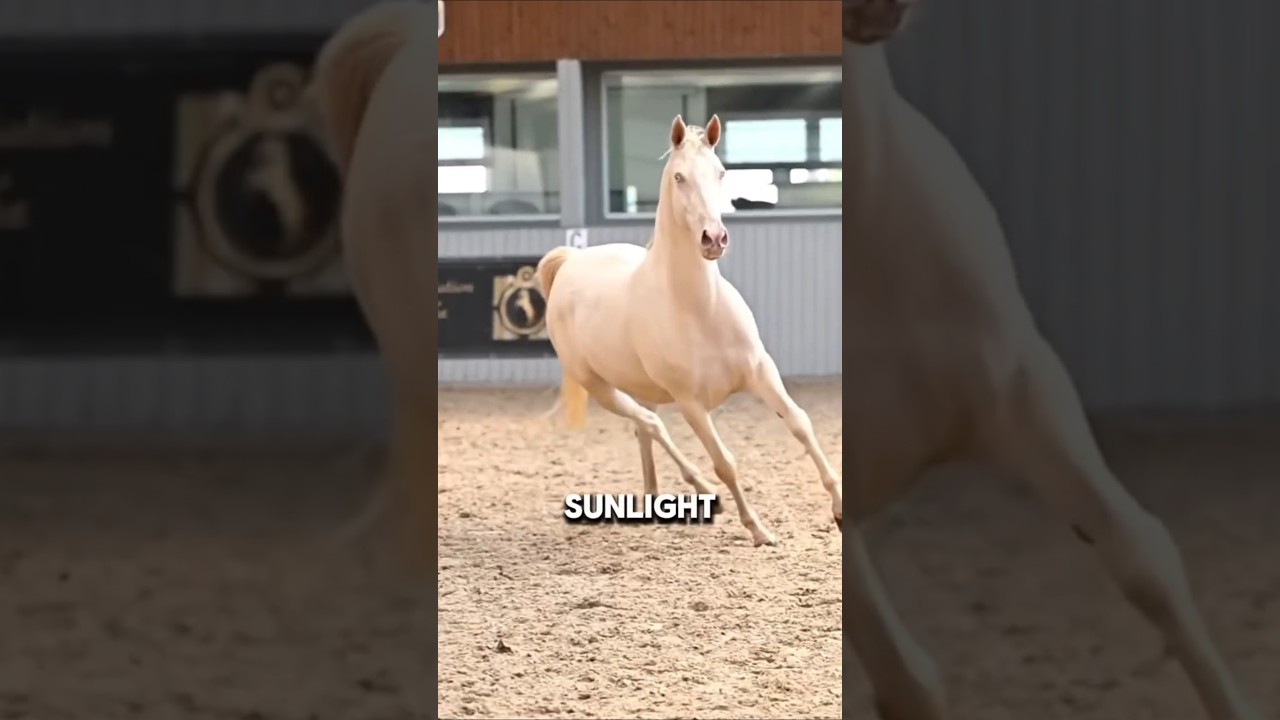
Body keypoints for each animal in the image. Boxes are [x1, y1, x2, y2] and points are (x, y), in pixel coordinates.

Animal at [535, 114, 843, 547]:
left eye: (721, 172)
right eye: (680, 176)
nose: (714, 239)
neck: (699, 310)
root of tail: (572, 260)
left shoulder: (761, 372)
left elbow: (801, 424)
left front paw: (840, 508)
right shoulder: (691, 403)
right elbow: (724, 462)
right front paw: (759, 530)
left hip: (639, 388)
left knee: (644, 430)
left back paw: (655, 495)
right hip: (600, 387)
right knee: (652, 425)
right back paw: (702, 489)